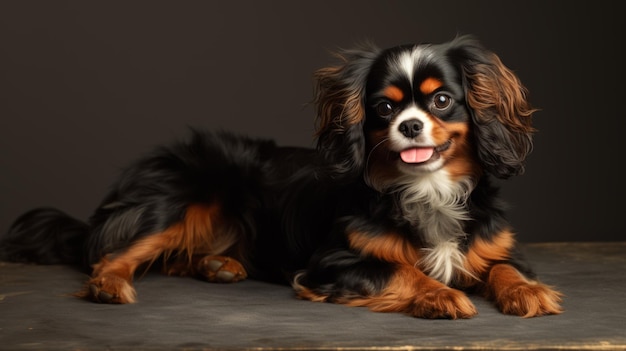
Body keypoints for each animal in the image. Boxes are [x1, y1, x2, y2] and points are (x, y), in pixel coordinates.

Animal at [0, 35, 564, 320]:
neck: (427, 187)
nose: (408, 125)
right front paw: (440, 294)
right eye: (383, 108)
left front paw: (527, 291)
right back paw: (110, 286)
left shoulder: (500, 248)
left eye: (442, 100)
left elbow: (504, 268)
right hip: (184, 195)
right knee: (108, 253)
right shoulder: (332, 263)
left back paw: (218, 266)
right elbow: (401, 271)